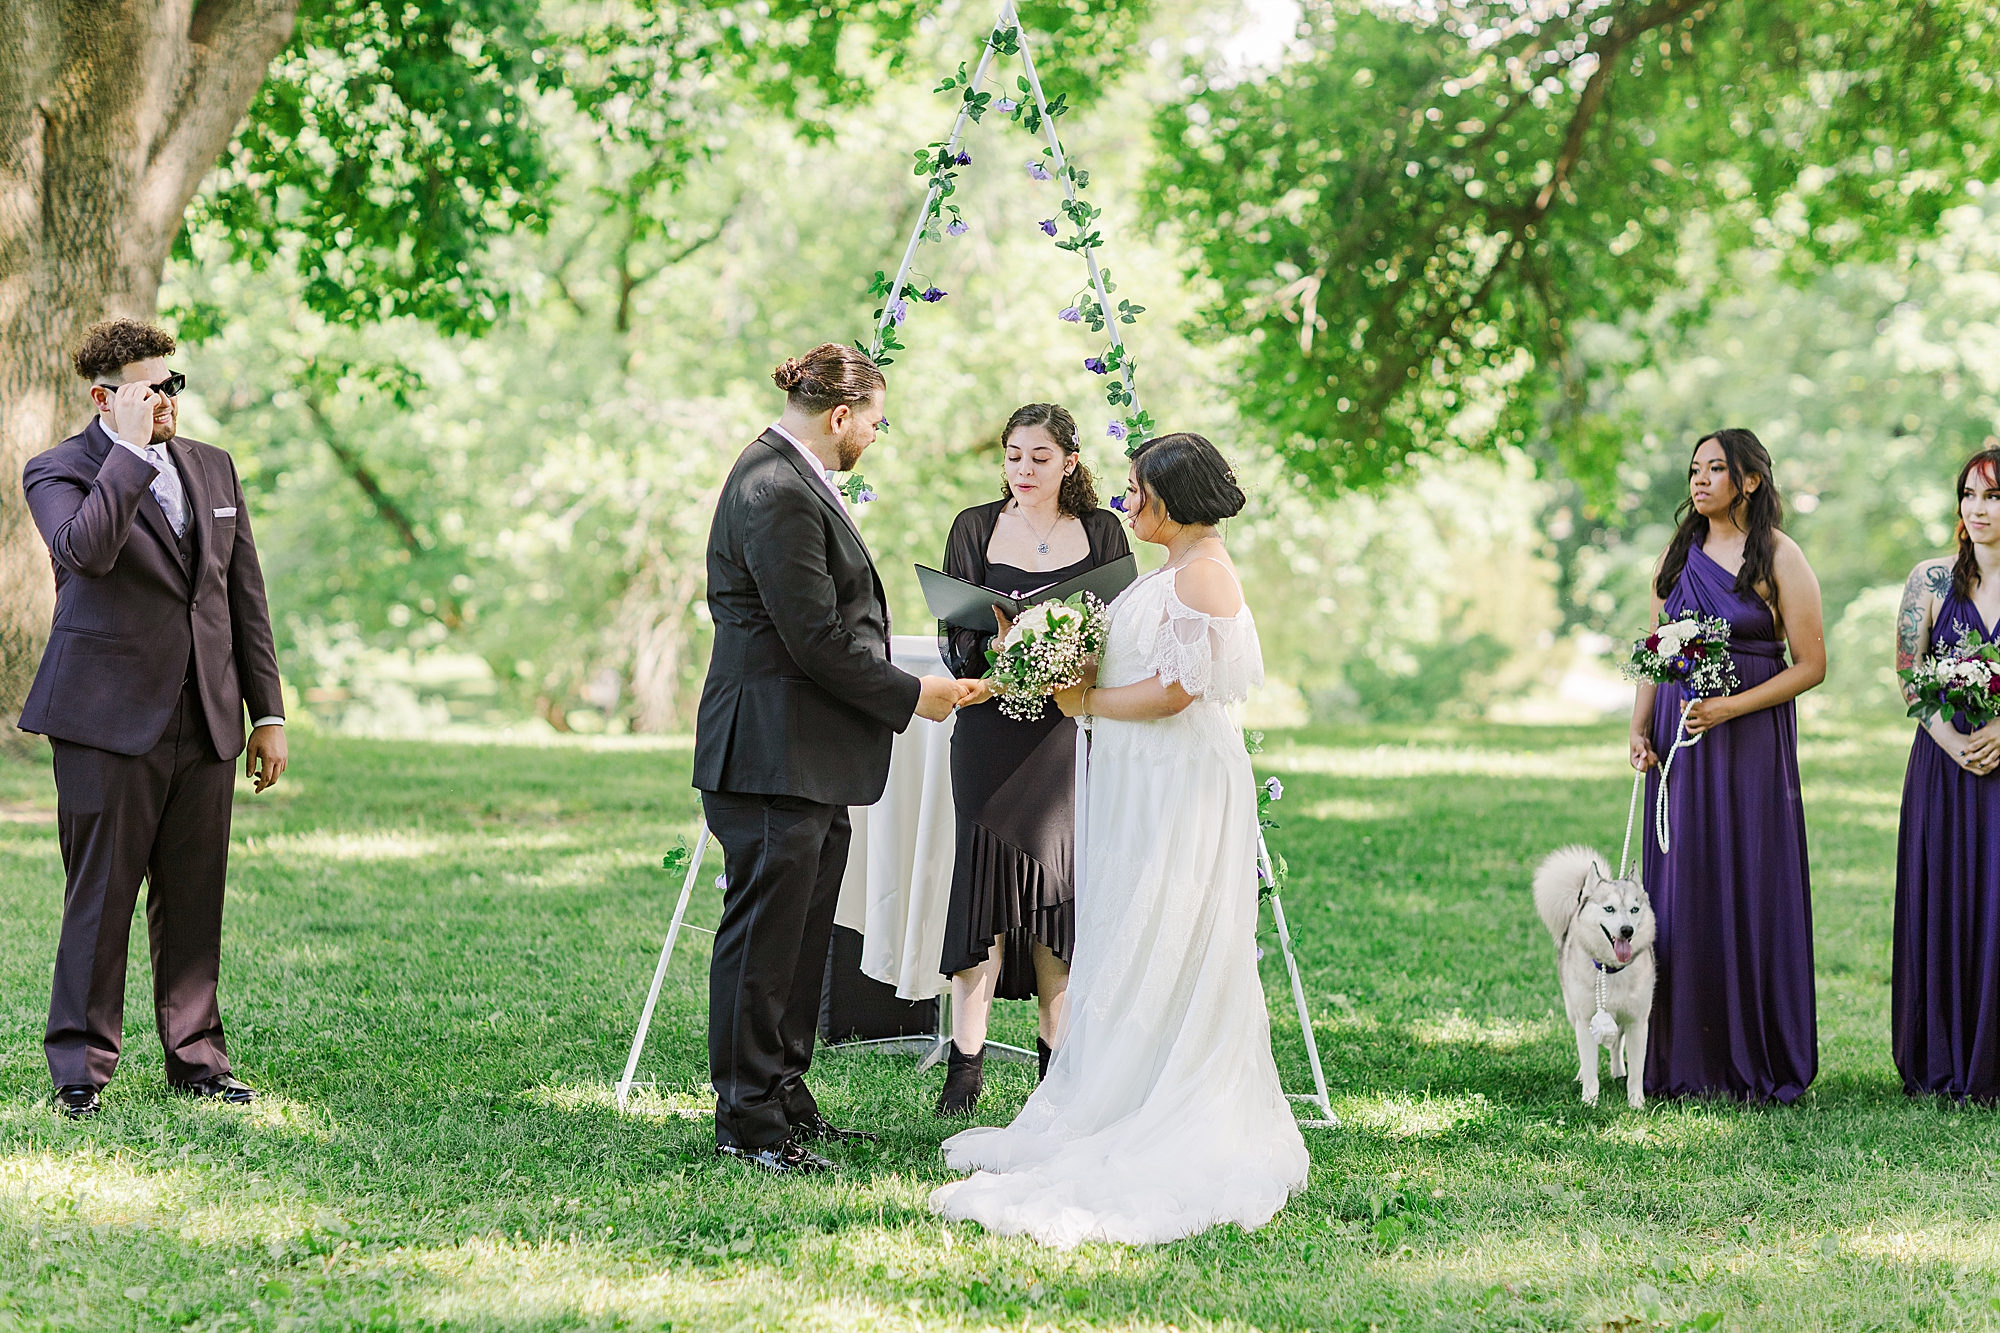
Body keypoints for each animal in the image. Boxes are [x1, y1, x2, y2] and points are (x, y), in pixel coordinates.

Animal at [1528, 844, 1656, 1104]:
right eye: (1609, 909)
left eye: (1634, 909)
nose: (1627, 930)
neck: (1612, 970)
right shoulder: (1585, 1019)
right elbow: (1589, 1064)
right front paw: (1589, 1101)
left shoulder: (1637, 1022)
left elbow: (1637, 1072)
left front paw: (1636, 1103)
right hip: (1572, 1012)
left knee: (1616, 1044)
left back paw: (1618, 1071)